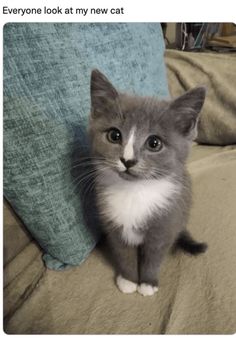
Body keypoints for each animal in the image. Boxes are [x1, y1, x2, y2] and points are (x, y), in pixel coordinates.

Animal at [88, 68, 206, 296]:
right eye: (114, 135)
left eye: (154, 143)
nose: (127, 160)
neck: (134, 191)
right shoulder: (114, 226)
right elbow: (124, 254)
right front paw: (128, 280)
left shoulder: (165, 225)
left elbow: (154, 257)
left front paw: (148, 283)